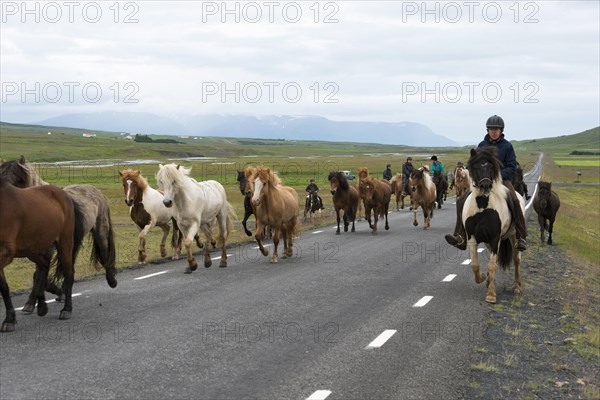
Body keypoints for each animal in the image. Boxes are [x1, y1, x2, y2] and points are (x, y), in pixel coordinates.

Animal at [462, 147, 524, 304]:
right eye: (476, 167)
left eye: (491, 167)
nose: (485, 186)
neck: (483, 206)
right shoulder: (472, 237)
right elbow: (475, 264)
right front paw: (483, 278)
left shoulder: (496, 238)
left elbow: (492, 264)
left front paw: (491, 294)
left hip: (514, 236)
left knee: (516, 259)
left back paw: (517, 286)